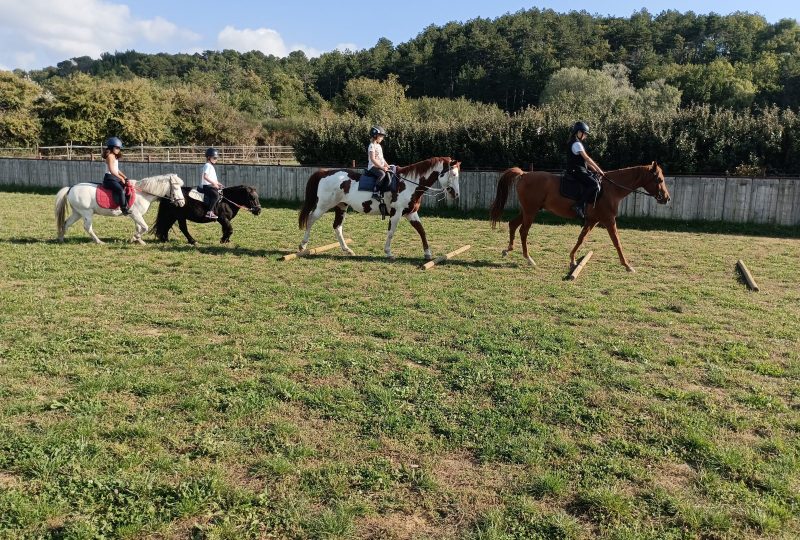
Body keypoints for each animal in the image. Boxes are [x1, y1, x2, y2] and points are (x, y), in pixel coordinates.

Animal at [54, 174, 186, 244]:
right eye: (175, 188)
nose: (182, 203)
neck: (143, 193)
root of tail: (71, 188)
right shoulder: (136, 214)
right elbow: (144, 227)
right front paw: (135, 238)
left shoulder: (136, 215)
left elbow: (139, 228)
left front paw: (139, 241)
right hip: (86, 213)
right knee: (88, 227)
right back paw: (99, 242)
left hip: (77, 213)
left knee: (66, 223)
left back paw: (61, 239)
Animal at [298, 156, 462, 260]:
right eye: (453, 174)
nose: (456, 194)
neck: (408, 184)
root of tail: (325, 172)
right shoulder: (396, 213)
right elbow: (391, 232)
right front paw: (388, 253)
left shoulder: (411, 213)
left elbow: (422, 231)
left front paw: (428, 254)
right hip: (323, 205)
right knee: (311, 219)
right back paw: (302, 245)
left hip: (341, 206)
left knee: (337, 227)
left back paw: (347, 250)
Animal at [490, 159, 672, 270]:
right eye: (659, 180)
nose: (666, 198)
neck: (611, 189)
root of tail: (524, 174)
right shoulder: (608, 220)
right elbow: (617, 242)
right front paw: (627, 265)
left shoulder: (592, 220)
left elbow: (581, 239)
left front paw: (572, 260)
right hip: (530, 211)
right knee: (523, 231)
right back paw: (529, 258)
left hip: (527, 210)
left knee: (513, 224)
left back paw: (507, 250)